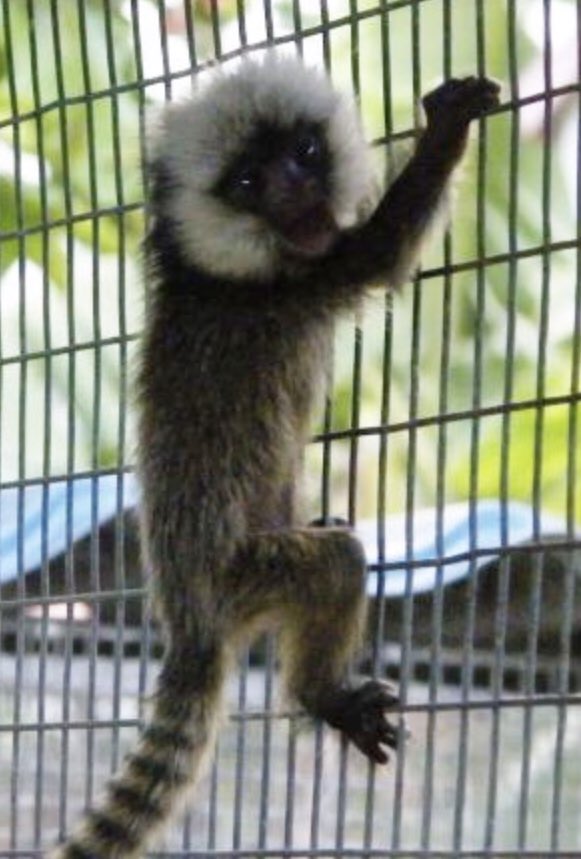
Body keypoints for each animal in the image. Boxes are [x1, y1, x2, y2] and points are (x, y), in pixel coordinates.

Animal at [49, 53, 500, 858]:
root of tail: (191, 629)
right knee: (335, 563)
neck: (209, 268)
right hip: (241, 578)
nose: (295, 189)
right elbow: (385, 248)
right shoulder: (303, 280)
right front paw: (443, 131)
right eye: (247, 183)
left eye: (305, 152)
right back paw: (324, 692)